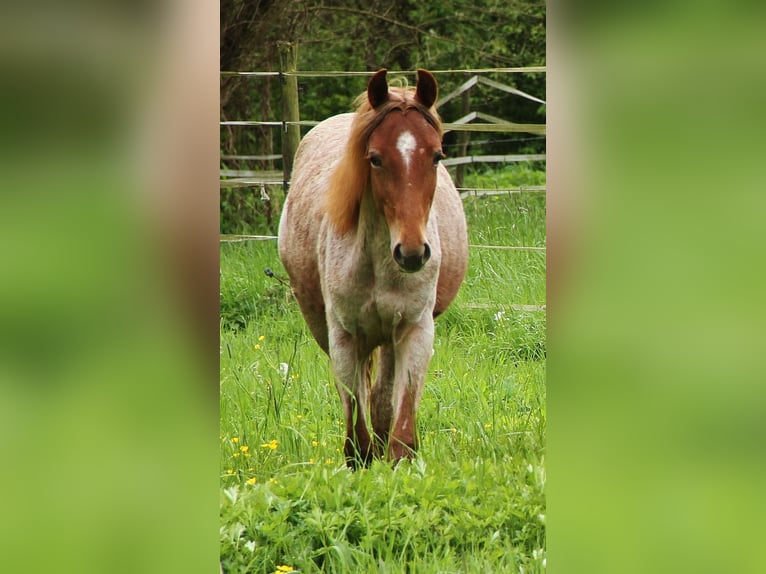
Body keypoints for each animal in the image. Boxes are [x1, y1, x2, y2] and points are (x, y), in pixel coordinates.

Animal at [276, 71, 468, 468]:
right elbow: (355, 417)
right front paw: (362, 463)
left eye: (437, 156)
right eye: (375, 159)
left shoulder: (415, 329)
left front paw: (397, 461)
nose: (412, 253)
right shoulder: (344, 336)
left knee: (381, 398)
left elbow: (401, 420)